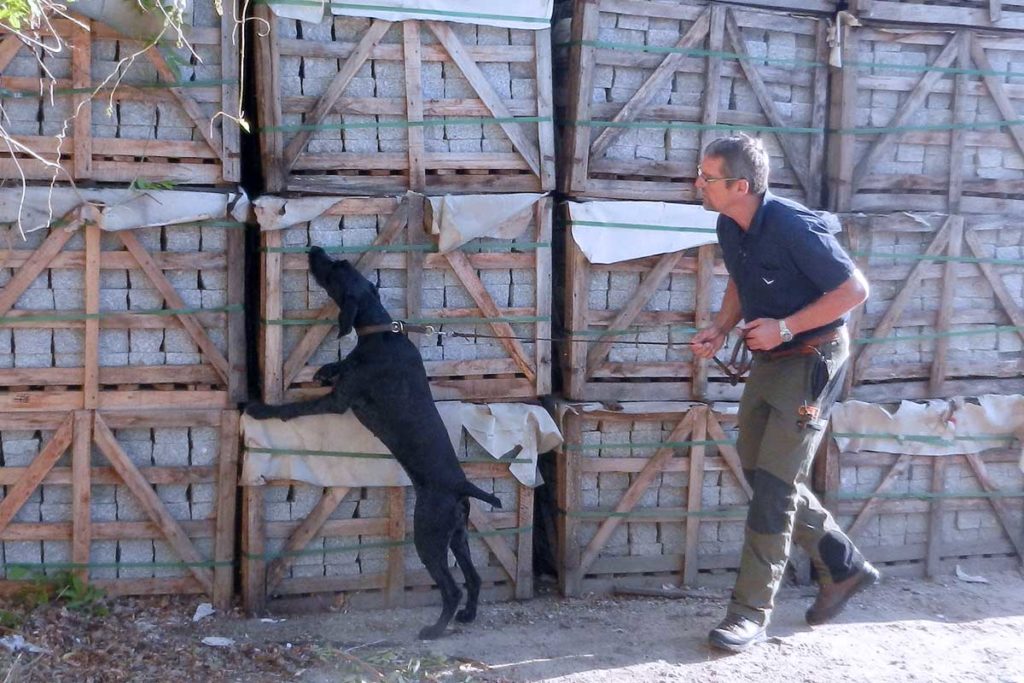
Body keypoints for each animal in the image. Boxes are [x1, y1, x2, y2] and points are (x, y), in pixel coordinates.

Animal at [247, 246, 503, 643]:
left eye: (336, 268)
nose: (314, 249)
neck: (380, 333)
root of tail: (462, 485)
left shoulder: (338, 401)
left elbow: (295, 407)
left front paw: (260, 409)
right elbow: (337, 365)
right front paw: (325, 368)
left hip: (428, 534)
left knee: (452, 587)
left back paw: (434, 629)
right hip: (457, 534)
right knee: (473, 578)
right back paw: (467, 616)